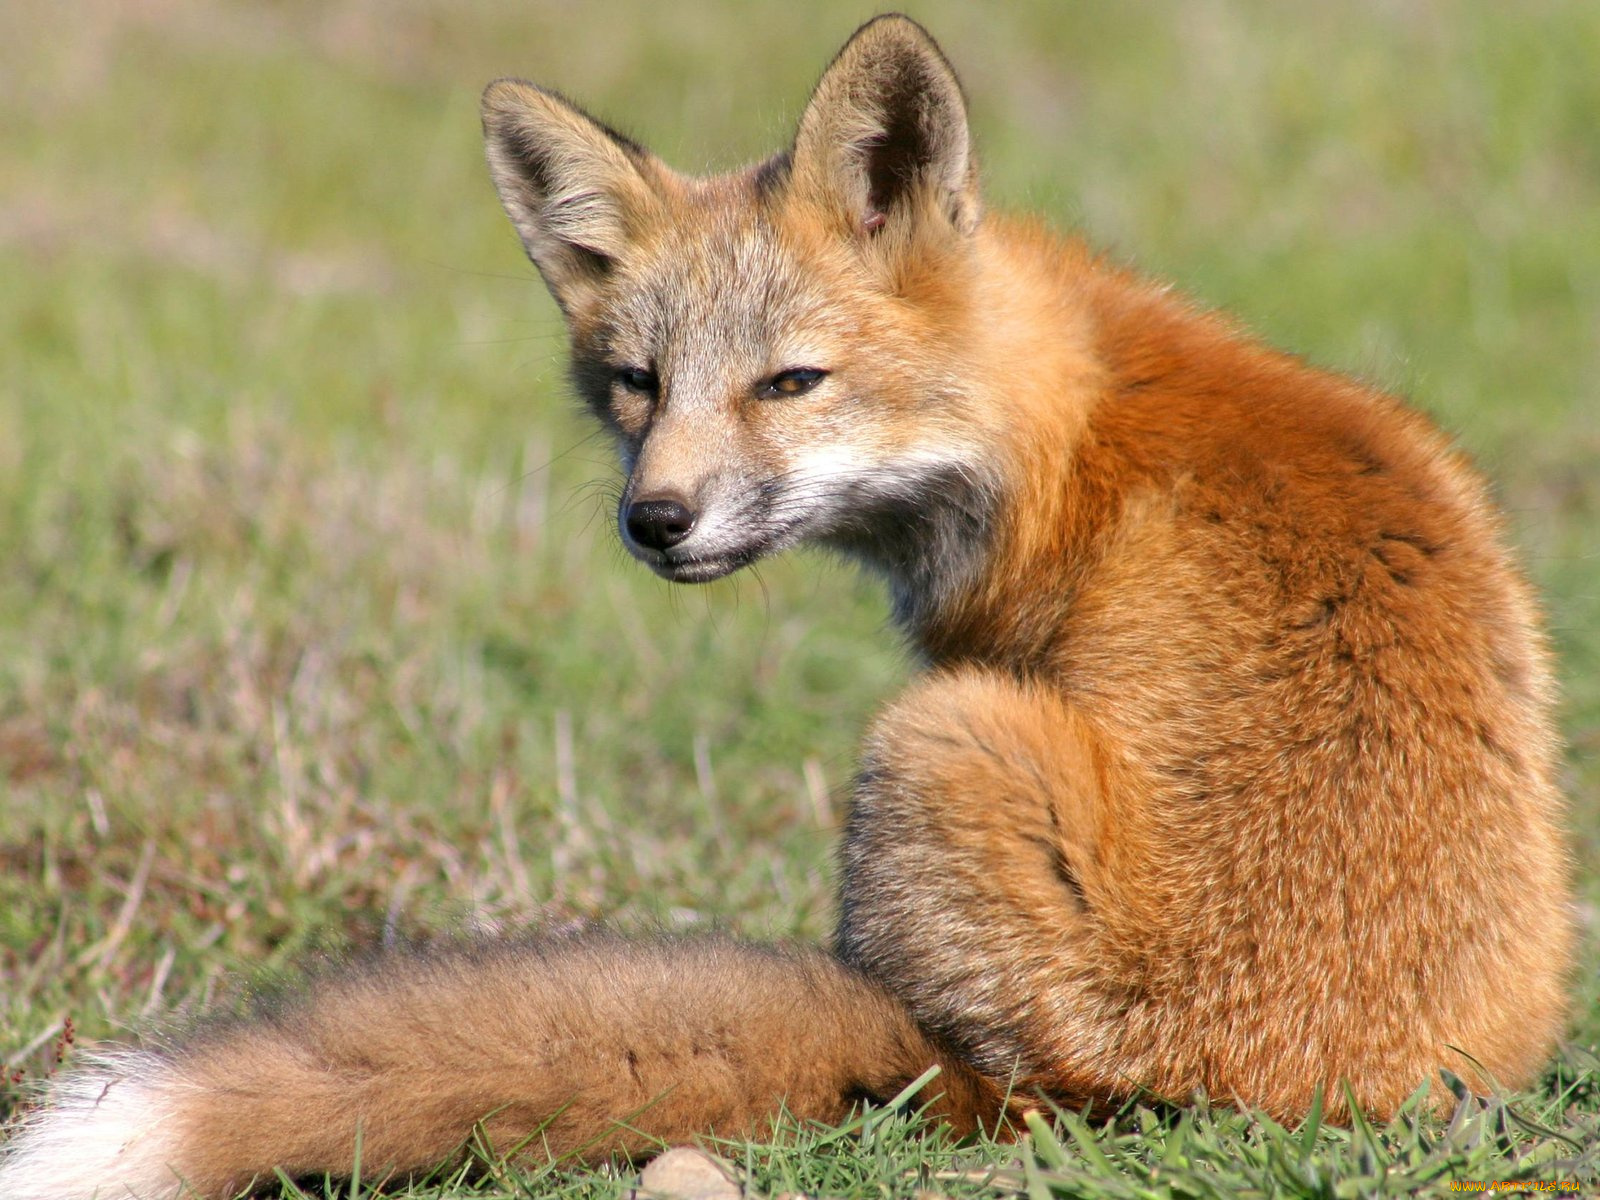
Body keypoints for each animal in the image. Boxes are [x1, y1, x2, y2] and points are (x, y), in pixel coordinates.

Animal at [0, 14, 1574, 1200]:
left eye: (789, 383)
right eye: (636, 385)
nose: (654, 521)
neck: (1064, 424)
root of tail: (1237, 1084)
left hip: (934, 743)